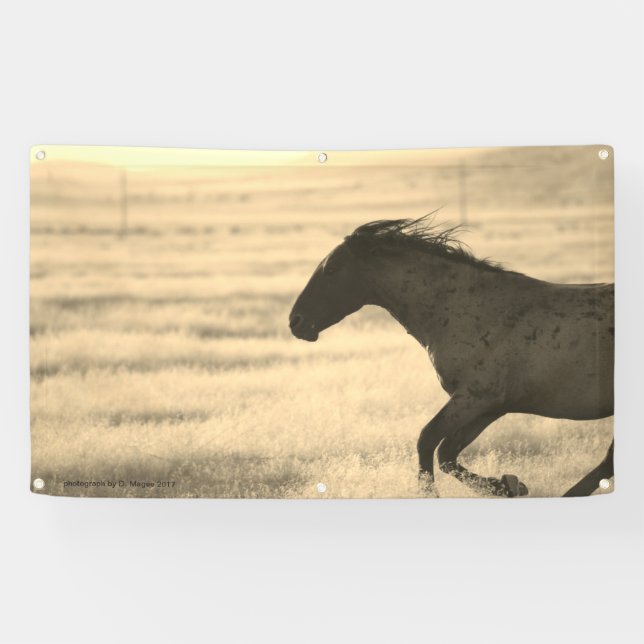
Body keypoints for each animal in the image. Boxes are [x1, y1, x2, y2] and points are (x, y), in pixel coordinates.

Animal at [289, 216, 614, 497]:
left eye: (331, 269)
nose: (296, 322)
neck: (470, 309)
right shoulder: (490, 407)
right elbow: (447, 453)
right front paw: (509, 485)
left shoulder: (473, 398)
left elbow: (427, 440)